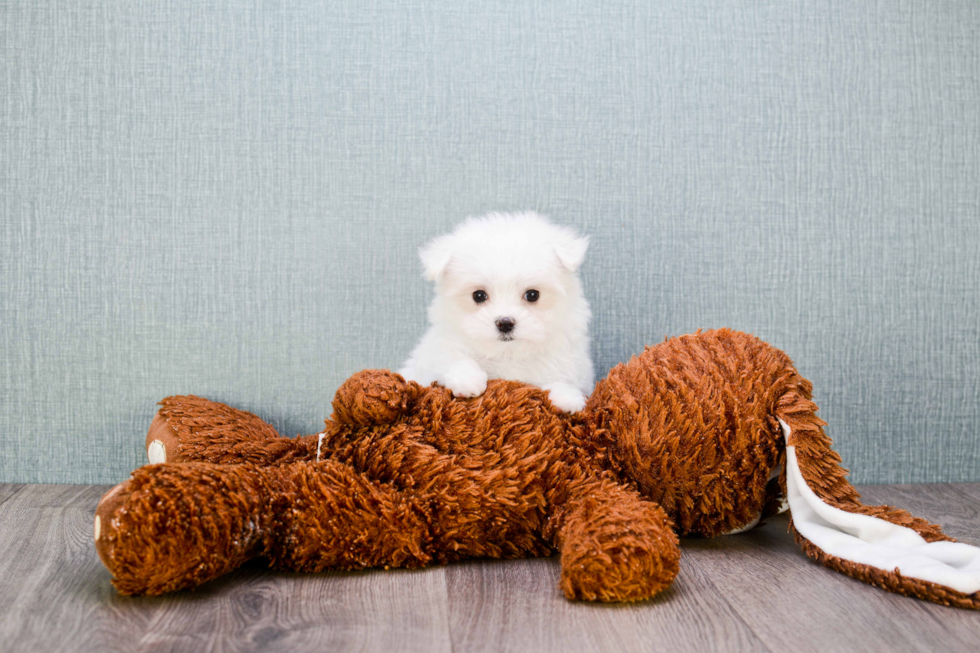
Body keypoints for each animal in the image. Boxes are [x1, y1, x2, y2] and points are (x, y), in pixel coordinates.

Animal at [400, 211, 596, 410]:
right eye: (479, 295)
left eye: (532, 295)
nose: (505, 323)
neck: (507, 354)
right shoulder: (434, 355)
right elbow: (452, 359)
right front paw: (467, 380)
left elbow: (563, 379)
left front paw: (567, 397)